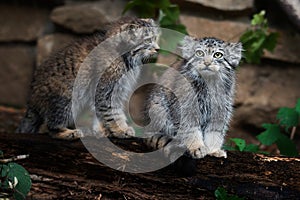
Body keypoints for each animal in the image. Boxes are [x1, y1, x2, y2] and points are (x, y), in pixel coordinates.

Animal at [17, 17, 159, 139]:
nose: (158, 49)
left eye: (155, 38)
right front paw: (120, 130)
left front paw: (102, 130)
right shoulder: (105, 91)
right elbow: (112, 112)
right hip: (67, 98)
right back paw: (68, 133)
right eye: (148, 40)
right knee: (51, 127)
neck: (123, 55)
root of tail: (31, 98)